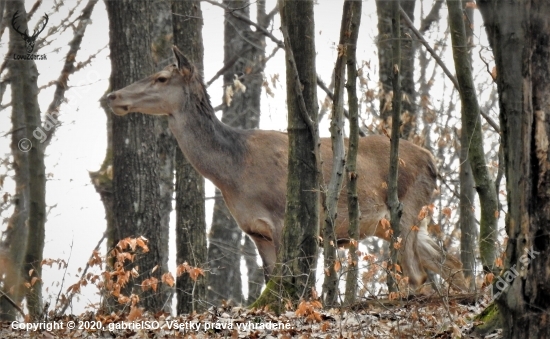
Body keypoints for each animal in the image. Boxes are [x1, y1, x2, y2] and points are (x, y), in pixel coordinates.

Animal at [108, 46, 470, 292]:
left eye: (161, 77)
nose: (113, 96)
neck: (233, 174)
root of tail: (432, 161)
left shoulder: (284, 217)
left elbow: (290, 279)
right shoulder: (255, 230)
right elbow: (272, 279)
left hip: (405, 208)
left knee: (418, 273)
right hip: (403, 220)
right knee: (449, 263)